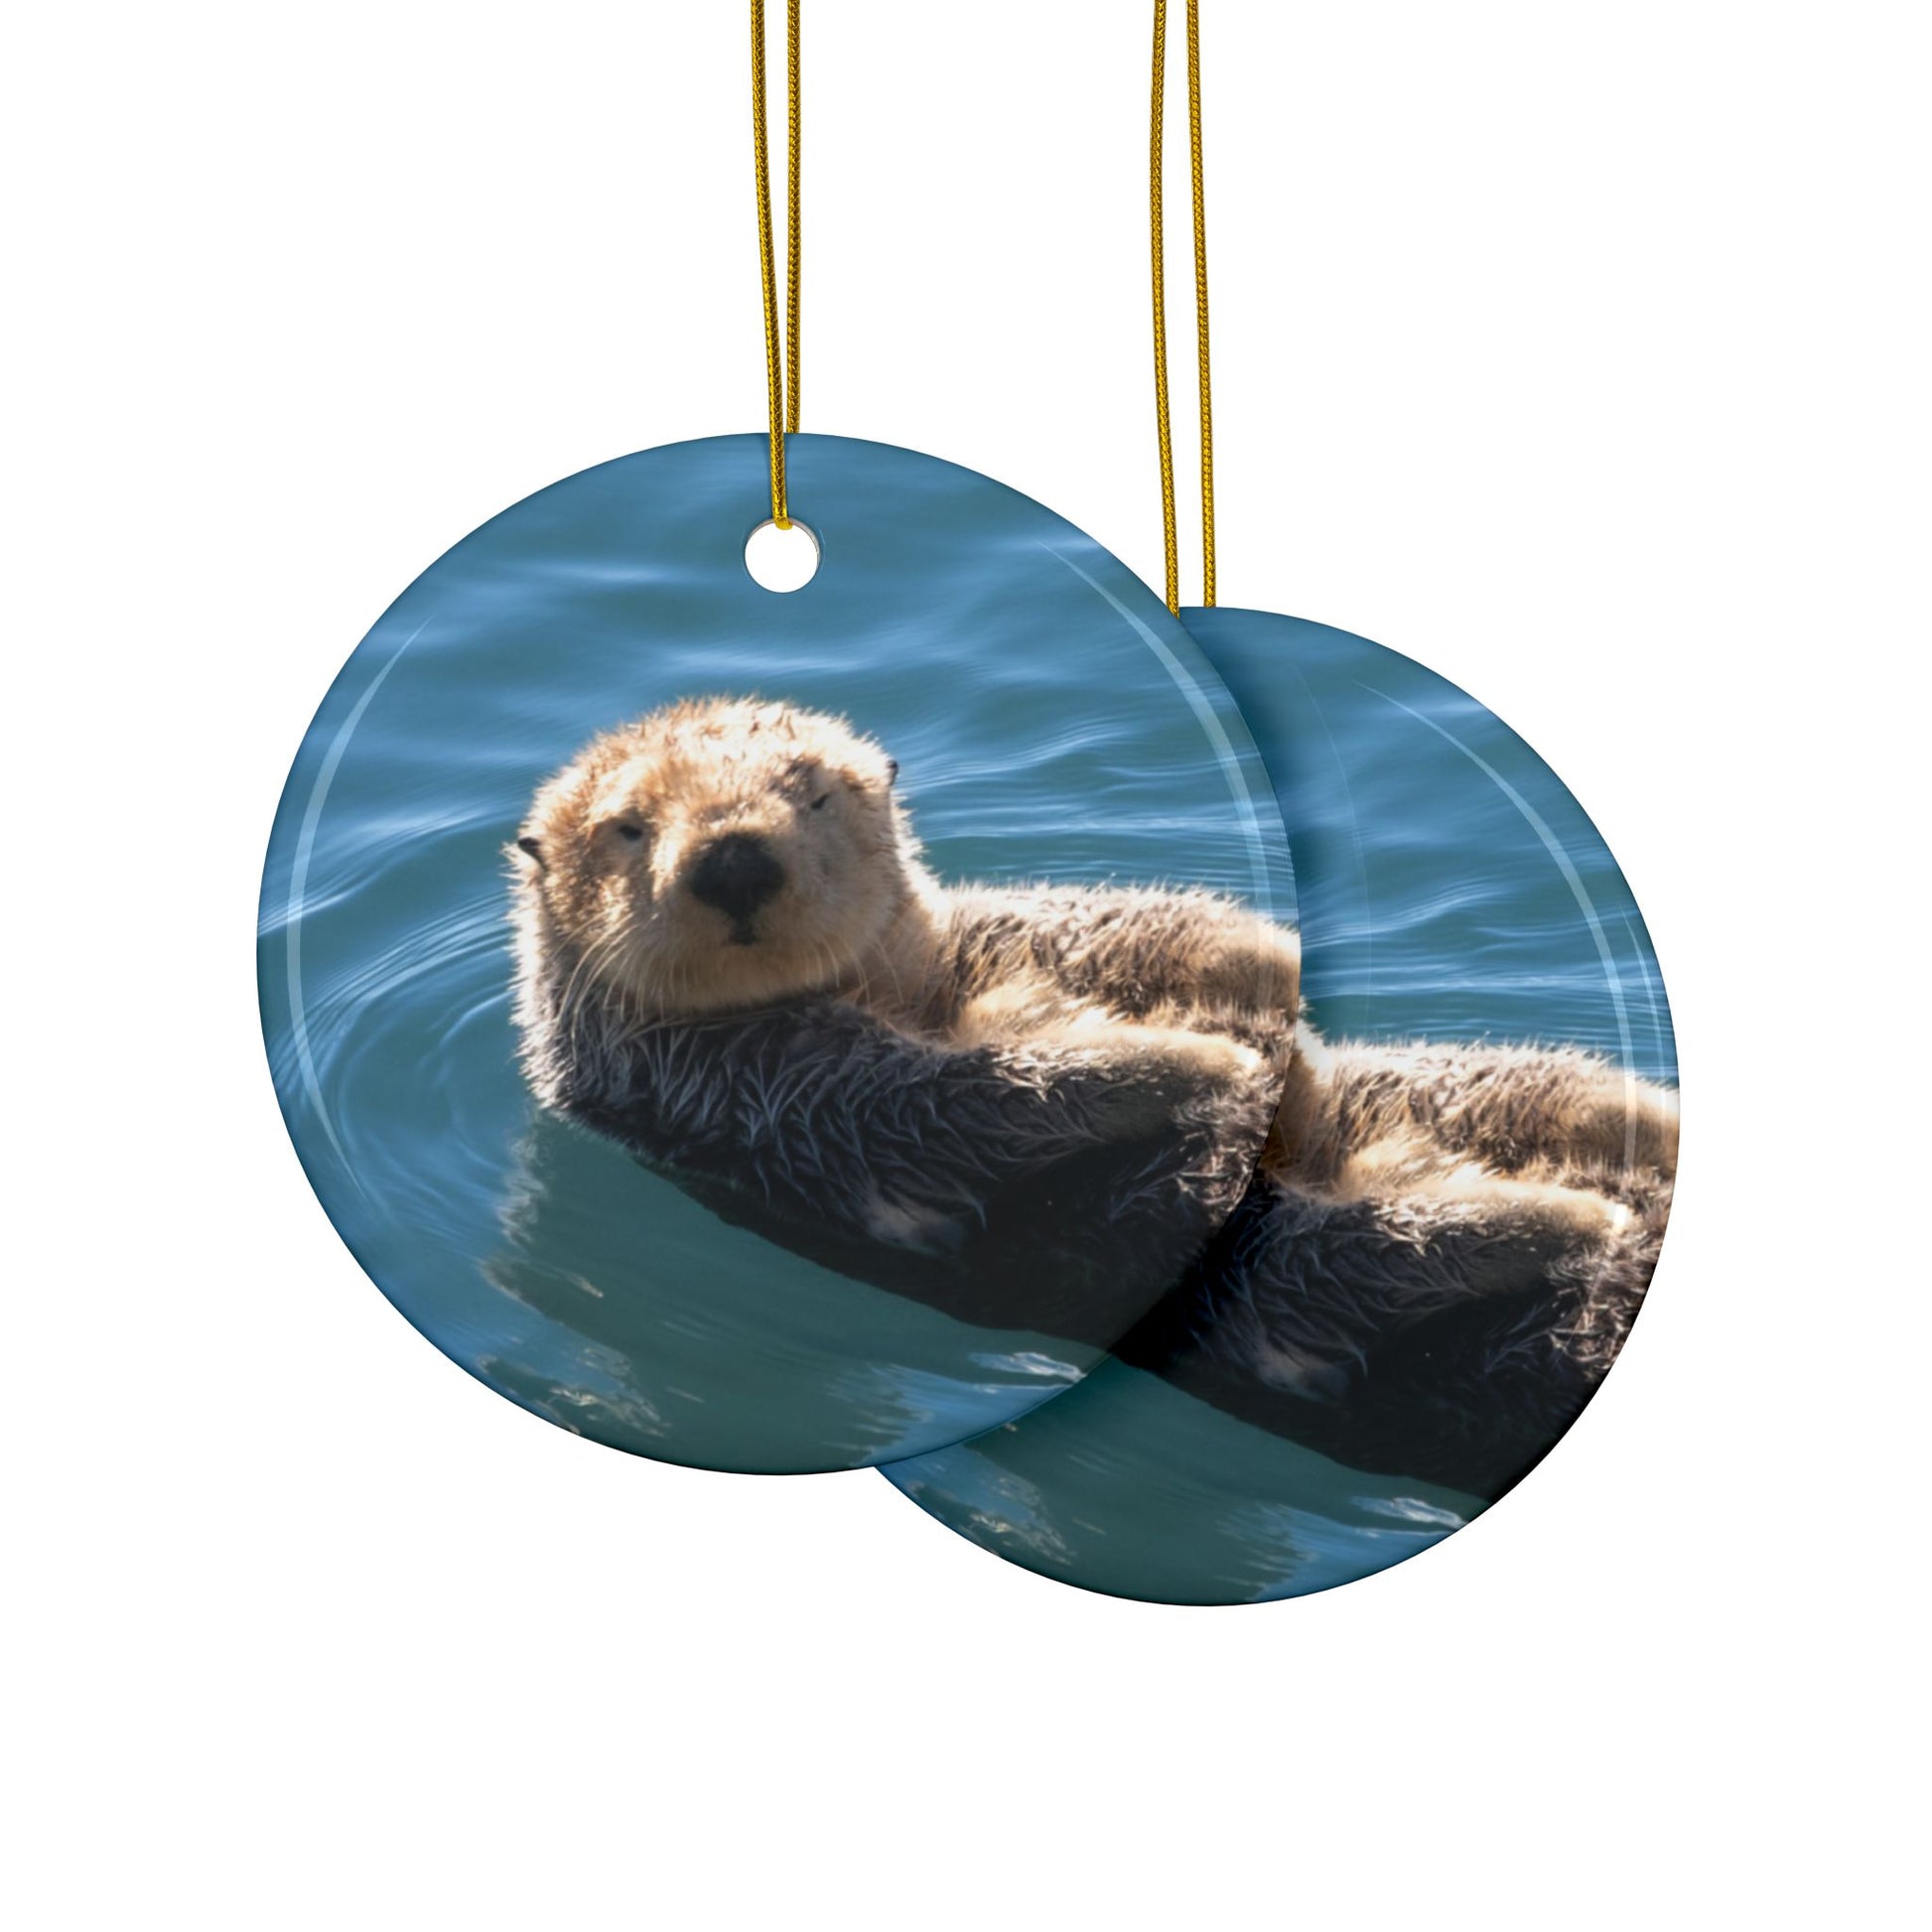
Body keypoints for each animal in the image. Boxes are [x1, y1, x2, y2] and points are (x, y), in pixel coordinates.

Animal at [510, 696, 1675, 1495]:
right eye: (627, 825)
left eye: (812, 791)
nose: (734, 858)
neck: (895, 990)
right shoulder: (772, 1086)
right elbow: (969, 1094)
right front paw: (1211, 1065)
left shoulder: (980, 936)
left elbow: (1125, 923)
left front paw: (1267, 966)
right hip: (1279, 1271)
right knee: (1401, 1239)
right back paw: (1576, 1214)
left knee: (1518, 1085)